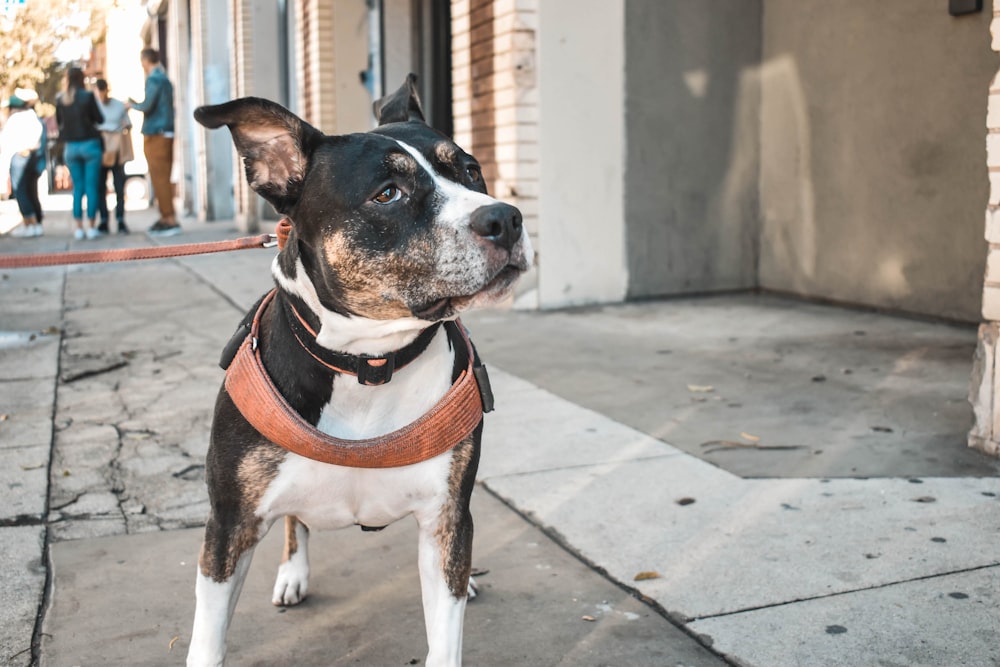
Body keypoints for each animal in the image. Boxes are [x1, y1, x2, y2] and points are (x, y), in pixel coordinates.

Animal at [186, 75, 532, 664]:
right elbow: (207, 640)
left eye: (470, 170)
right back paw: (292, 574)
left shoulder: (445, 518)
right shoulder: (228, 524)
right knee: (296, 522)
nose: (505, 217)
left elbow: (445, 632)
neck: (367, 364)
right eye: (387, 194)